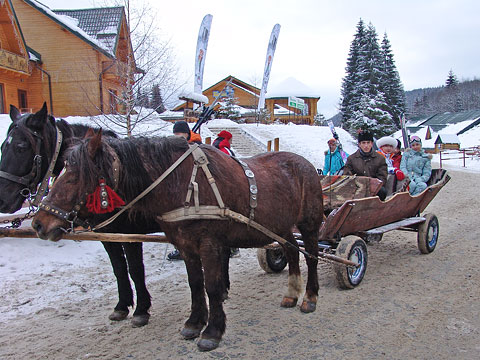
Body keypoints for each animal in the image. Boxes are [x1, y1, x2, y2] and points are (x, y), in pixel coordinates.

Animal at [0, 103, 152, 326]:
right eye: (3, 146)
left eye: (21, 147)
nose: (3, 200)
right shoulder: (107, 235)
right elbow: (119, 268)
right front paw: (121, 306)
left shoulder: (129, 235)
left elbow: (135, 269)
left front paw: (141, 310)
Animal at [32, 130, 322, 352]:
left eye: (74, 176)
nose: (39, 223)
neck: (182, 183)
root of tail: (308, 165)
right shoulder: (185, 246)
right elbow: (195, 285)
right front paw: (194, 323)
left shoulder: (210, 244)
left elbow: (212, 286)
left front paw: (212, 331)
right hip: (281, 227)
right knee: (292, 252)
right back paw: (291, 293)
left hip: (309, 225)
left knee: (312, 257)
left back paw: (309, 297)